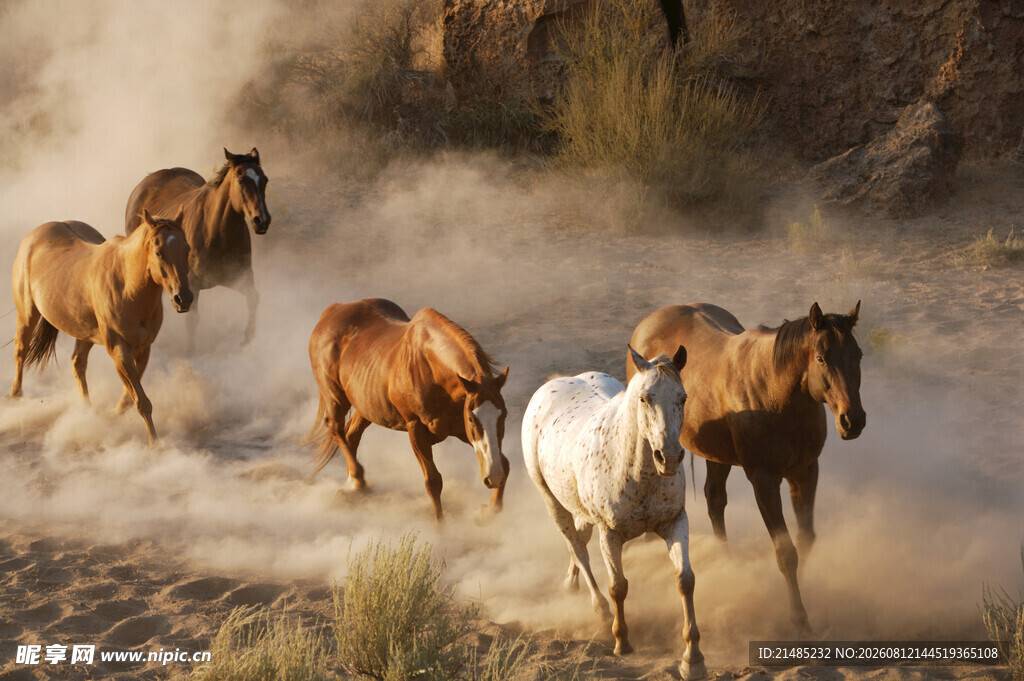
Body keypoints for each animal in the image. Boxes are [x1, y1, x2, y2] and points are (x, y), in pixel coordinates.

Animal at [9, 209, 193, 444]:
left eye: (187, 248)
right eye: (159, 252)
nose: (184, 299)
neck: (127, 286)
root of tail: (34, 235)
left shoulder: (143, 349)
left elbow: (129, 399)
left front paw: (112, 416)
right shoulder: (119, 349)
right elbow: (142, 402)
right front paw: (155, 444)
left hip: (83, 332)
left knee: (77, 363)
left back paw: (87, 411)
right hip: (27, 315)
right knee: (21, 351)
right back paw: (16, 397)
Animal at [124, 147, 270, 348]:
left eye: (264, 180)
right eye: (241, 181)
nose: (262, 220)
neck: (217, 233)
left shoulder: (241, 277)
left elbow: (253, 298)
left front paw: (248, 338)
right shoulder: (191, 285)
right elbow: (192, 320)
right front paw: (191, 350)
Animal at [306, 298, 510, 522]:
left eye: (504, 415)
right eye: (472, 418)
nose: (493, 477)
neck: (431, 368)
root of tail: (333, 310)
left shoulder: (459, 430)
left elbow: (505, 463)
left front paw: (488, 511)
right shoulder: (417, 429)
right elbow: (433, 481)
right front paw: (441, 527)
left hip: (365, 407)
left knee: (351, 434)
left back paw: (353, 486)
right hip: (335, 397)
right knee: (336, 428)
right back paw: (358, 480)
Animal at [522, 345, 705, 680]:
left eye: (683, 397)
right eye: (644, 398)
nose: (669, 457)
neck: (636, 471)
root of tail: (555, 383)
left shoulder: (675, 522)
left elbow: (685, 580)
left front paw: (693, 658)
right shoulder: (611, 534)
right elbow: (618, 586)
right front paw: (622, 642)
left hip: (579, 509)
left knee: (579, 541)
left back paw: (570, 583)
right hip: (552, 501)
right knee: (577, 548)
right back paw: (600, 611)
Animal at [628, 302, 866, 633]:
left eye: (858, 355)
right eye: (821, 357)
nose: (853, 421)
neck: (776, 394)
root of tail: (648, 322)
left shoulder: (805, 473)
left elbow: (805, 539)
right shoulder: (764, 481)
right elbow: (786, 552)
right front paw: (798, 616)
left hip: (717, 456)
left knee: (715, 500)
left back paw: (726, 561)